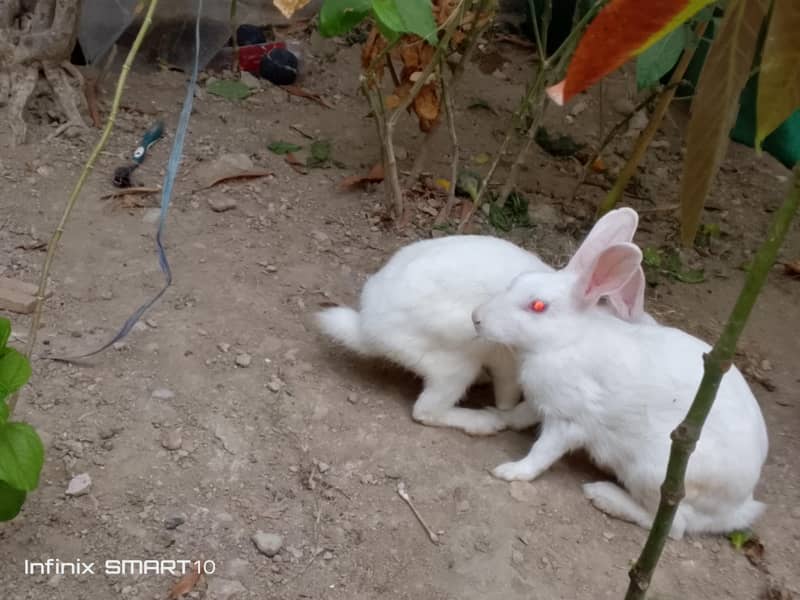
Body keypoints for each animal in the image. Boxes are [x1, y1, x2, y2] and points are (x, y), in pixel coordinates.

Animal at [315, 207, 651, 436]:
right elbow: (507, 395)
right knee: (427, 411)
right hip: (455, 363)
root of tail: (367, 329)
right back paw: (483, 422)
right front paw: (504, 411)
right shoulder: (508, 364)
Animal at [471, 241, 769, 539]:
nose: (476, 318)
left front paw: (512, 471)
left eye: (538, 305)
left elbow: (542, 451)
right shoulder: (543, 402)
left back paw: (604, 496)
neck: (566, 339)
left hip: (656, 473)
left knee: (674, 526)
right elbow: (520, 414)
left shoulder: (568, 421)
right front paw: (495, 416)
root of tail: (735, 508)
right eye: (516, 282)